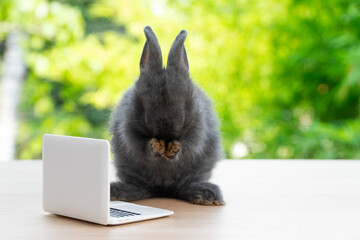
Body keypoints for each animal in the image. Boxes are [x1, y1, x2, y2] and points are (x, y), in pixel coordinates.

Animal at [109, 26, 224, 206]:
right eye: (146, 106)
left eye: (184, 104)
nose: (166, 132)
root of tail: (163, 190)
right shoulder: (128, 127)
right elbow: (140, 144)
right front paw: (156, 147)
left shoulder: (198, 128)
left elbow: (188, 145)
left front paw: (173, 149)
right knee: (141, 189)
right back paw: (117, 192)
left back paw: (207, 196)